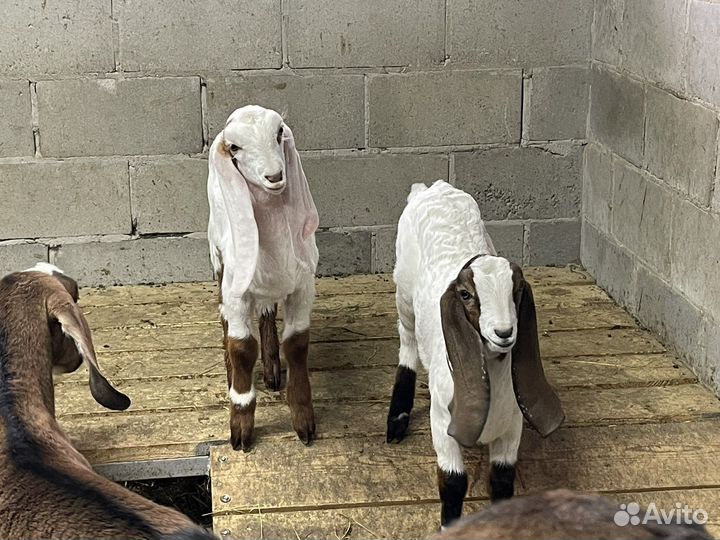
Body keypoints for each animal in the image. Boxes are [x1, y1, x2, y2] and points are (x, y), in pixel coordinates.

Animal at [207, 105, 319, 450]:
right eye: (235, 147)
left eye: (279, 132)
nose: (274, 177)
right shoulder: (236, 289)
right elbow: (241, 347)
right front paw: (241, 425)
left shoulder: (303, 285)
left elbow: (296, 343)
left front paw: (303, 418)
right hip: (218, 257)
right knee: (224, 316)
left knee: (268, 313)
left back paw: (272, 370)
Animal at [386, 180, 565, 527]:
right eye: (466, 295)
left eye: (517, 290)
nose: (504, 333)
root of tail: (432, 188)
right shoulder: (443, 424)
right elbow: (453, 482)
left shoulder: (512, 427)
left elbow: (503, 480)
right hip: (403, 292)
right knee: (407, 342)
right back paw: (397, 417)